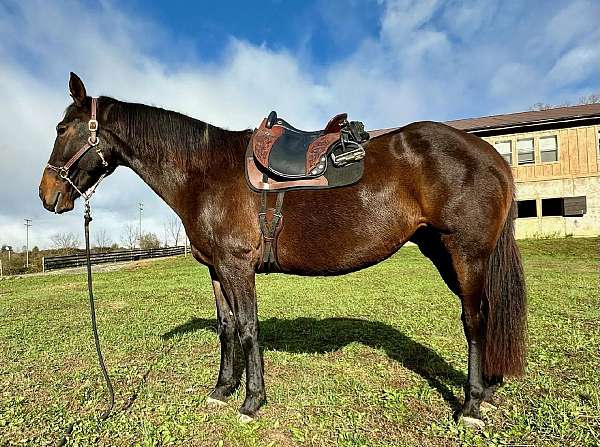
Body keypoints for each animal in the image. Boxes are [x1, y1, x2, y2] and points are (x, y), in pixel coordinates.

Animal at [38, 74, 524, 430]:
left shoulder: (238, 267)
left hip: (466, 254)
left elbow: (248, 329)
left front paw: (252, 401)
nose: (46, 195)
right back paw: (487, 391)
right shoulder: (217, 270)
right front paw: (222, 390)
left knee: (474, 319)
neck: (204, 172)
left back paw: (470, 406)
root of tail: (489, 154)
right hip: (443, 253)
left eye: (62, 129)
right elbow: (227, 328)